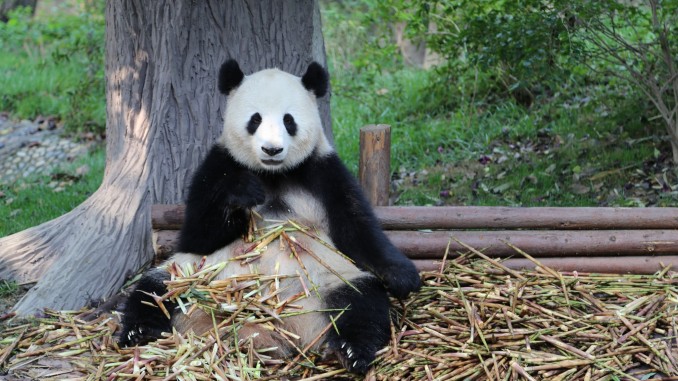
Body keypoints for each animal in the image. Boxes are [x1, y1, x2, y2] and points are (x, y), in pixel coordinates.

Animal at [119, 58, 422, 372]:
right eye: (255, 119)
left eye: (289, 120)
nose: (272, 149)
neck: (273, 174)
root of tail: (276, 330)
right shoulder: (217, 165)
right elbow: (198, 233)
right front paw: (243, 192)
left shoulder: (323, 172)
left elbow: (356, 228)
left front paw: (402, 276)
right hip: (192, 275)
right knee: (155, 290)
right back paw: (139, 332)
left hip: (333, 279)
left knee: (362, 302)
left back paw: (352, 352)